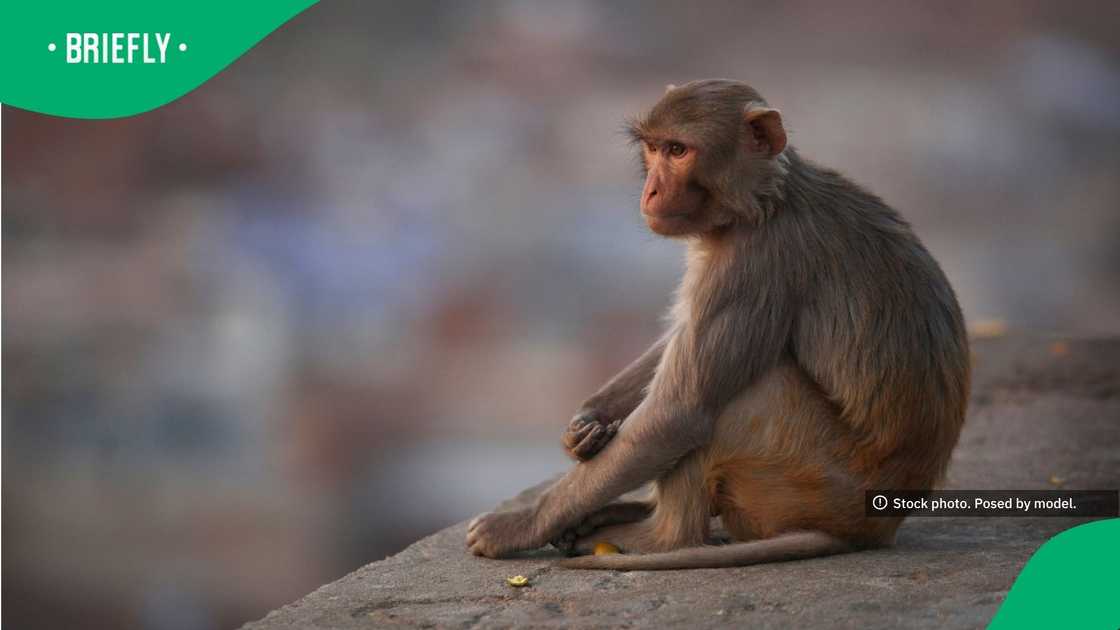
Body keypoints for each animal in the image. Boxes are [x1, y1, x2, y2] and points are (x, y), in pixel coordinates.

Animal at [466, 79, 970, 570]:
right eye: (653, 148)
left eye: (678, 151)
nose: (650, 191)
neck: (764, 202)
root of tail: (870, 529)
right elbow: (678, 338)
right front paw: (588, 422)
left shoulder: (752, 263)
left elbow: (677, 413)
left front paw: (518, 525)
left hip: (813, 481)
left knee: (746, 397)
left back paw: (659, 537)